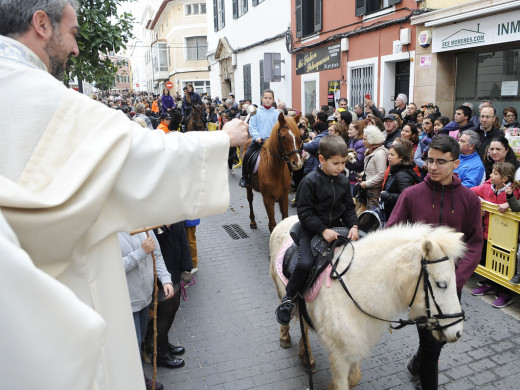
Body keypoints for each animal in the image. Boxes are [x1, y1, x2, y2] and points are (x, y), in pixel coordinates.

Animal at [270, 216, 466, 390]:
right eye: (441, 284)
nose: (457, 332)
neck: (354, 287)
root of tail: (285, 220)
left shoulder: (356, 343)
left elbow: (354, 378)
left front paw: (331, 385)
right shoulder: (340, 354)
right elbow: (343, 384)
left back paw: (306, 358)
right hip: (282, 290)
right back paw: (286, 337)